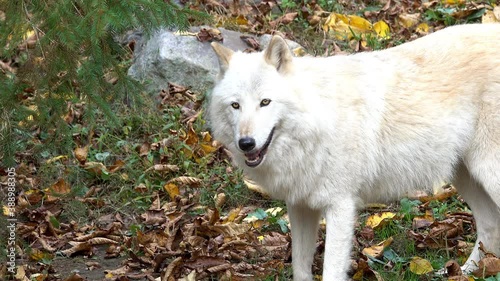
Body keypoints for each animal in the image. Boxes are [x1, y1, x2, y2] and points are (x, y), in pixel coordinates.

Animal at [207, 24, 500, 280]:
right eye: (235, 105)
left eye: (265, 102)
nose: (246, 143)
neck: (317, 121)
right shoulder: (300, 206)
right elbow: (300, 269)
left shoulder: (340, 206)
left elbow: (331, 271)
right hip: (465, 176)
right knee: (489, 226)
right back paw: (463, 272)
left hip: (486, 174)